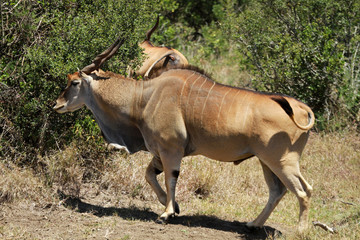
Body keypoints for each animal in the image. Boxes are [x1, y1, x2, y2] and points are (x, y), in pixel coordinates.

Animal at [54, 36, 316, 232]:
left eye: (74, 82)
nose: (56, 104)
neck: (144, 96)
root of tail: (301, 107)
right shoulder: (159, 151)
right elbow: (149, 175)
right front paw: (173, 207)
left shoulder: (171, 149)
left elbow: (170, 178)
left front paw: (167, 213)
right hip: (266, 162)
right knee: (278, 191)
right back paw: (253, 224)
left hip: (282, 161)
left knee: (304, 191)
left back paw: (300, 230)